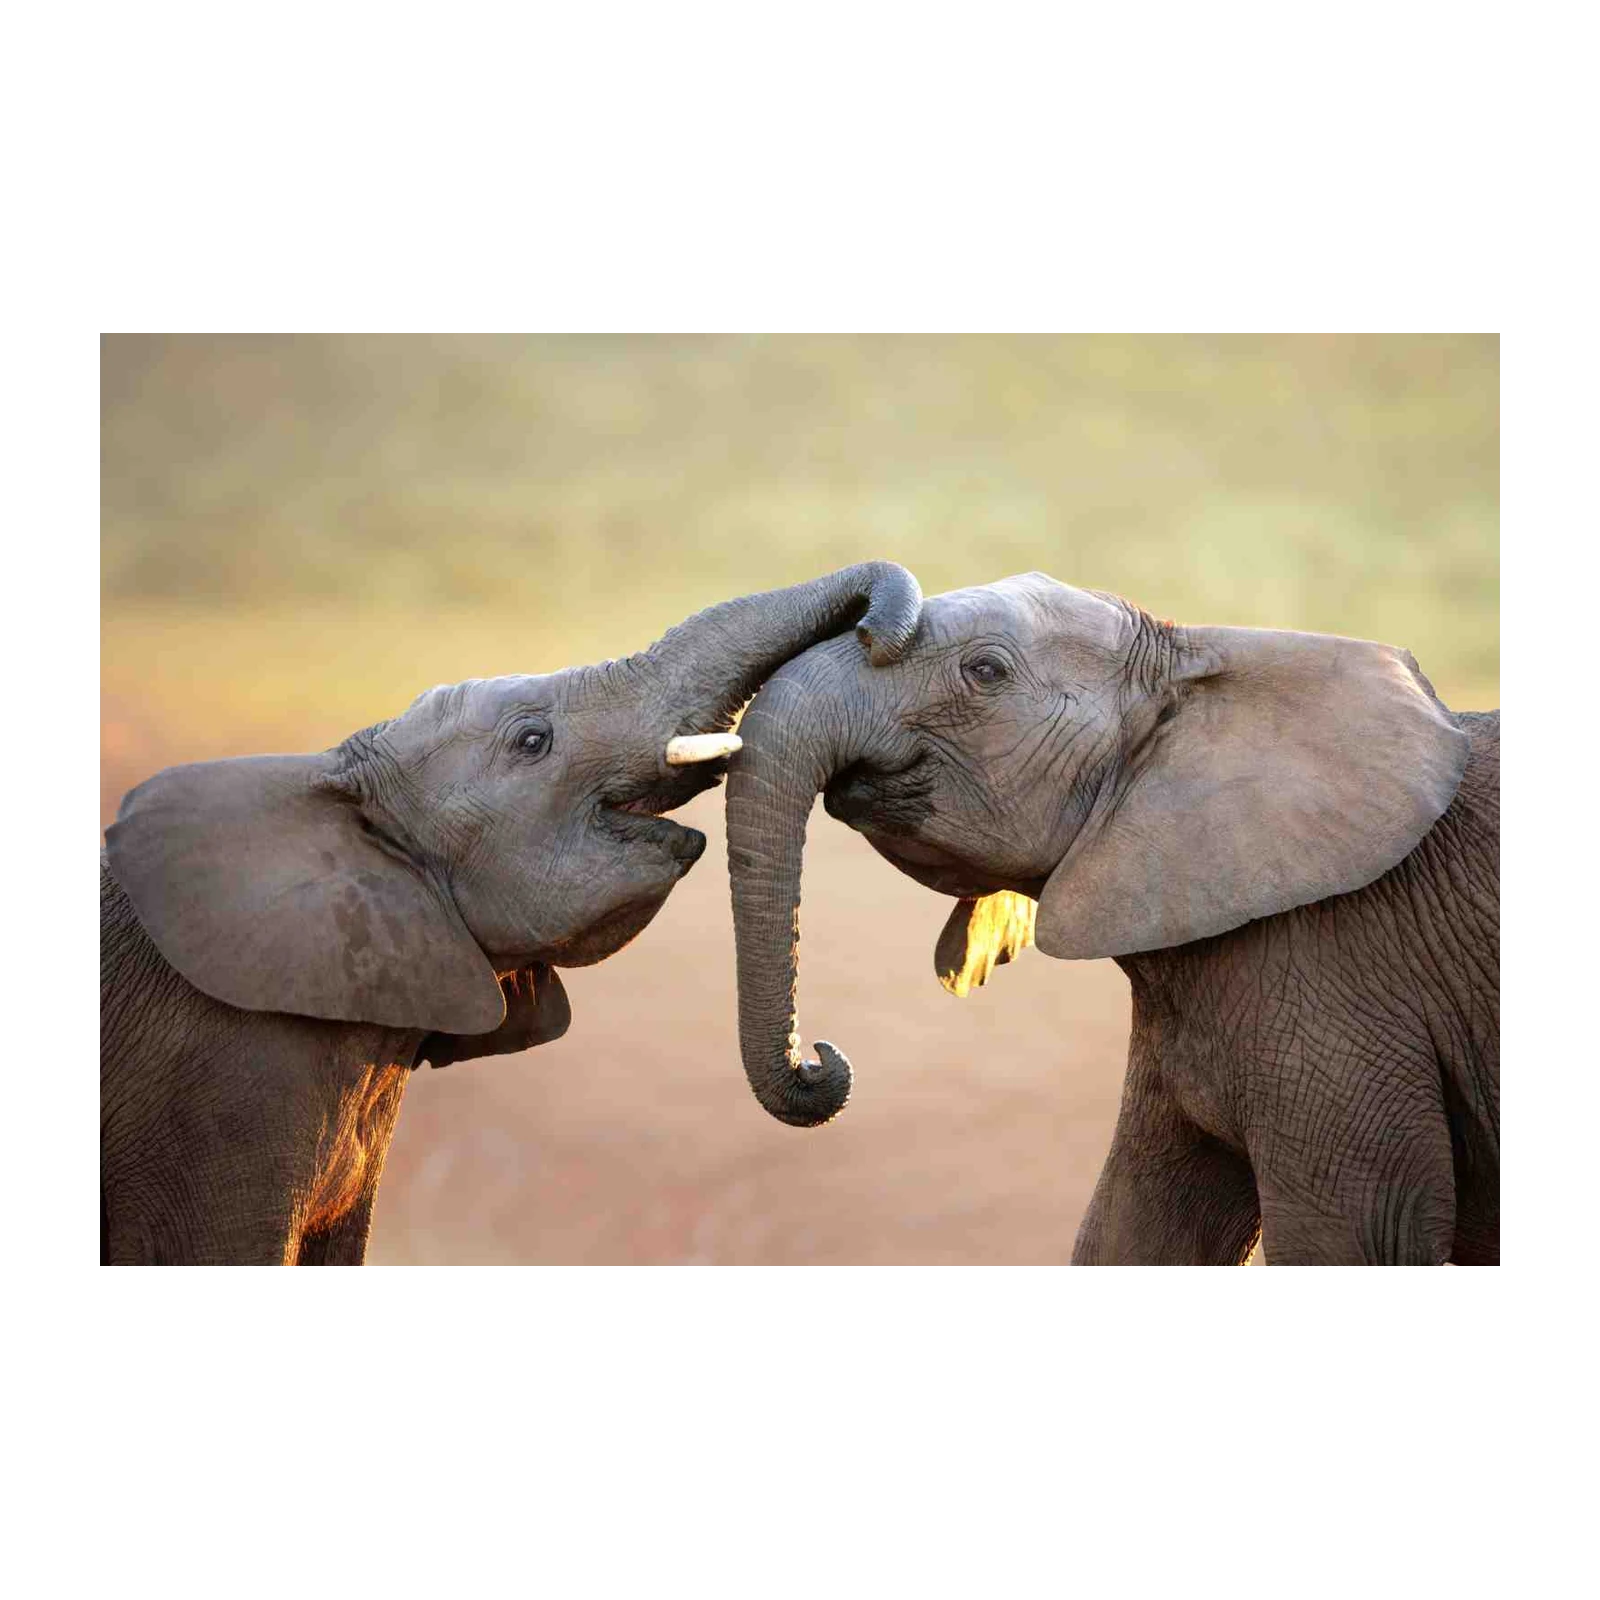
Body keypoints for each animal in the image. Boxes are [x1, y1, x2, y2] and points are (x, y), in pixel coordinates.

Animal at [721, 572, 1500, 1270]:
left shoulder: (1339, 975)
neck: (1198, 661)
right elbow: (1135, 1230)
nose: (820, 1060)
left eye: (985, 671)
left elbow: (1358, 1237)